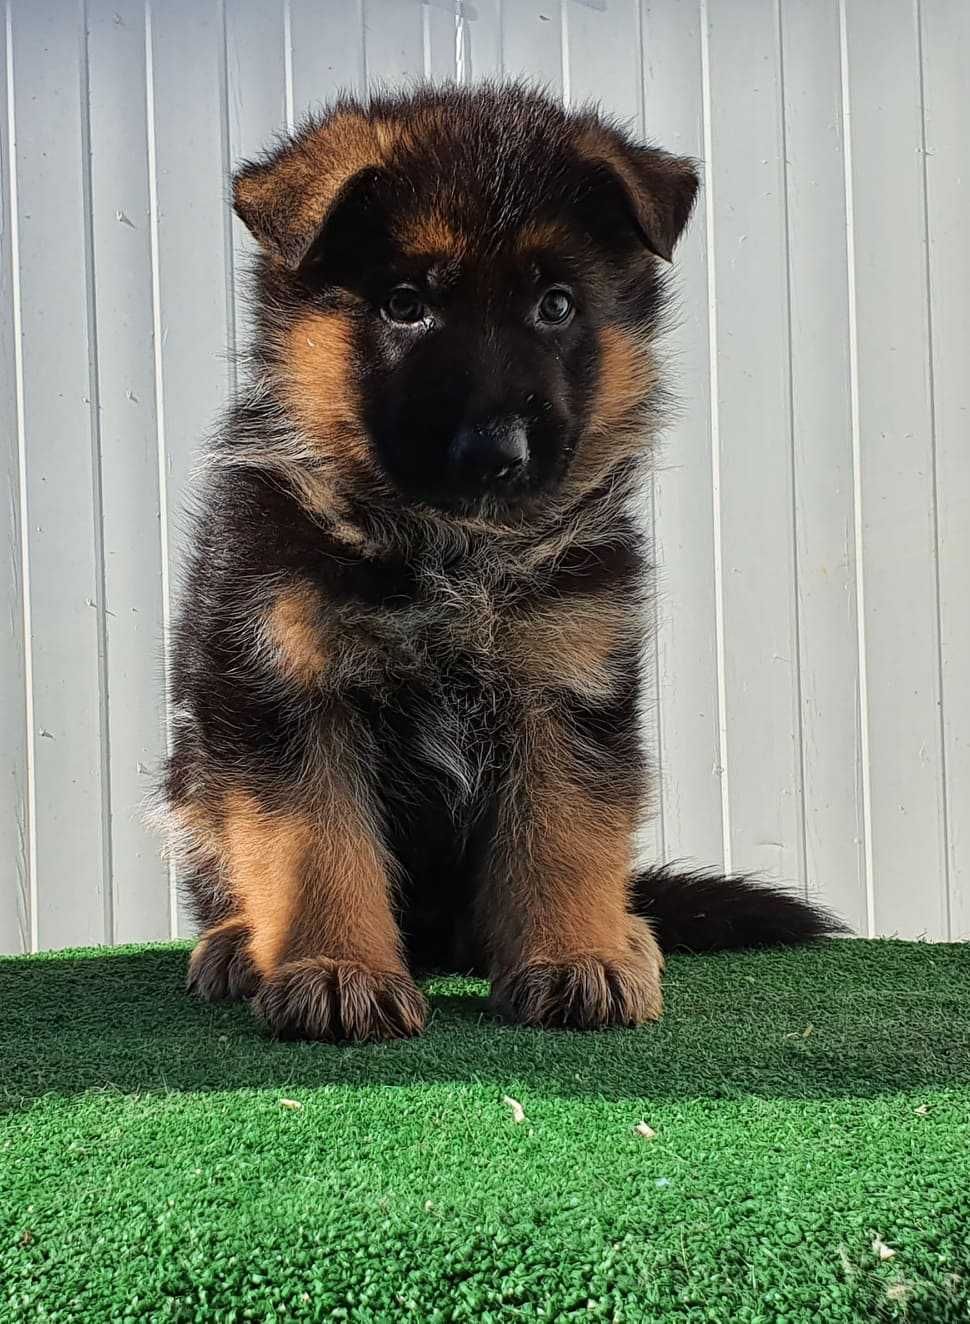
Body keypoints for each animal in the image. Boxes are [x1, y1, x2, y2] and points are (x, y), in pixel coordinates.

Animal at [156, 82, 831, 1043]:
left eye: (556, 305)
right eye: (404, 304)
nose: (494, 454)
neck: (449, 549)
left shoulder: (563, 686)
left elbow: (564, 835)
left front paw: (573, 958)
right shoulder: (287, 687)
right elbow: (314, 845)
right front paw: (336, 970)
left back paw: (626, 934)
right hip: (194, 771)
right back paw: (237, 945)